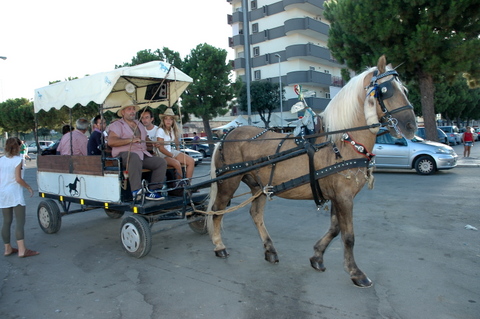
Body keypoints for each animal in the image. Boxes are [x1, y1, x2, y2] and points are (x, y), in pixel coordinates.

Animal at [206, 56, 416, 288]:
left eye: (404, 89)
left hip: (258, 186)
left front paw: (317, 256)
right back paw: (219, 246)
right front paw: (355, 272)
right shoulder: (344, 197)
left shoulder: (336, 196)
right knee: (217, 211)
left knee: (256, 214)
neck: (342, 142)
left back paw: (270, 249)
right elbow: (348, 235)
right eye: (386, 90)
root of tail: (226, 135)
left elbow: (335, 229)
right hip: (228, 183)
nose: (411, 125)